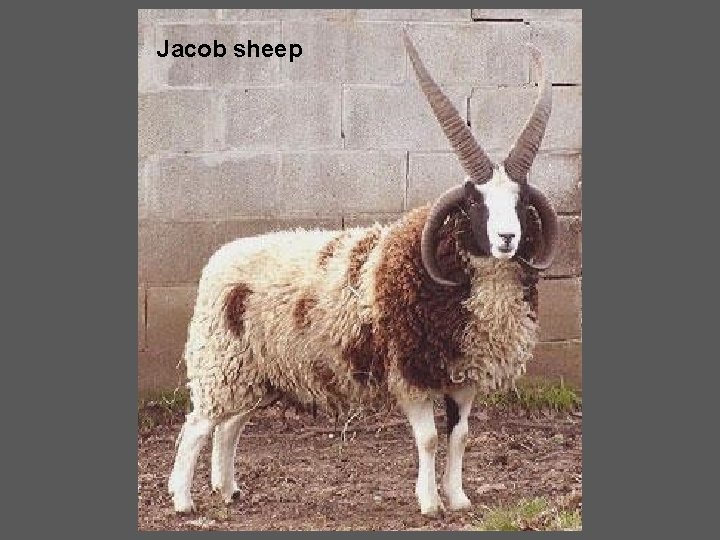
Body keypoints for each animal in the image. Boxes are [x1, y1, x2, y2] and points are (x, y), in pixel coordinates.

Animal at [168, 31, 559, 517]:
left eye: (521, 202)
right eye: (474, 202)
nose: (507, 238)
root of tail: (218, 259)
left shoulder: (462, 375)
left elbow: (460, 438)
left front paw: (459, 499)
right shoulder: (409, 373)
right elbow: (429, 440)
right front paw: (430, 504)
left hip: (255, 370)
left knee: (229, 426)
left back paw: (228, 489)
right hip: (220, 363)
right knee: (196, 426)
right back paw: (183, 500)